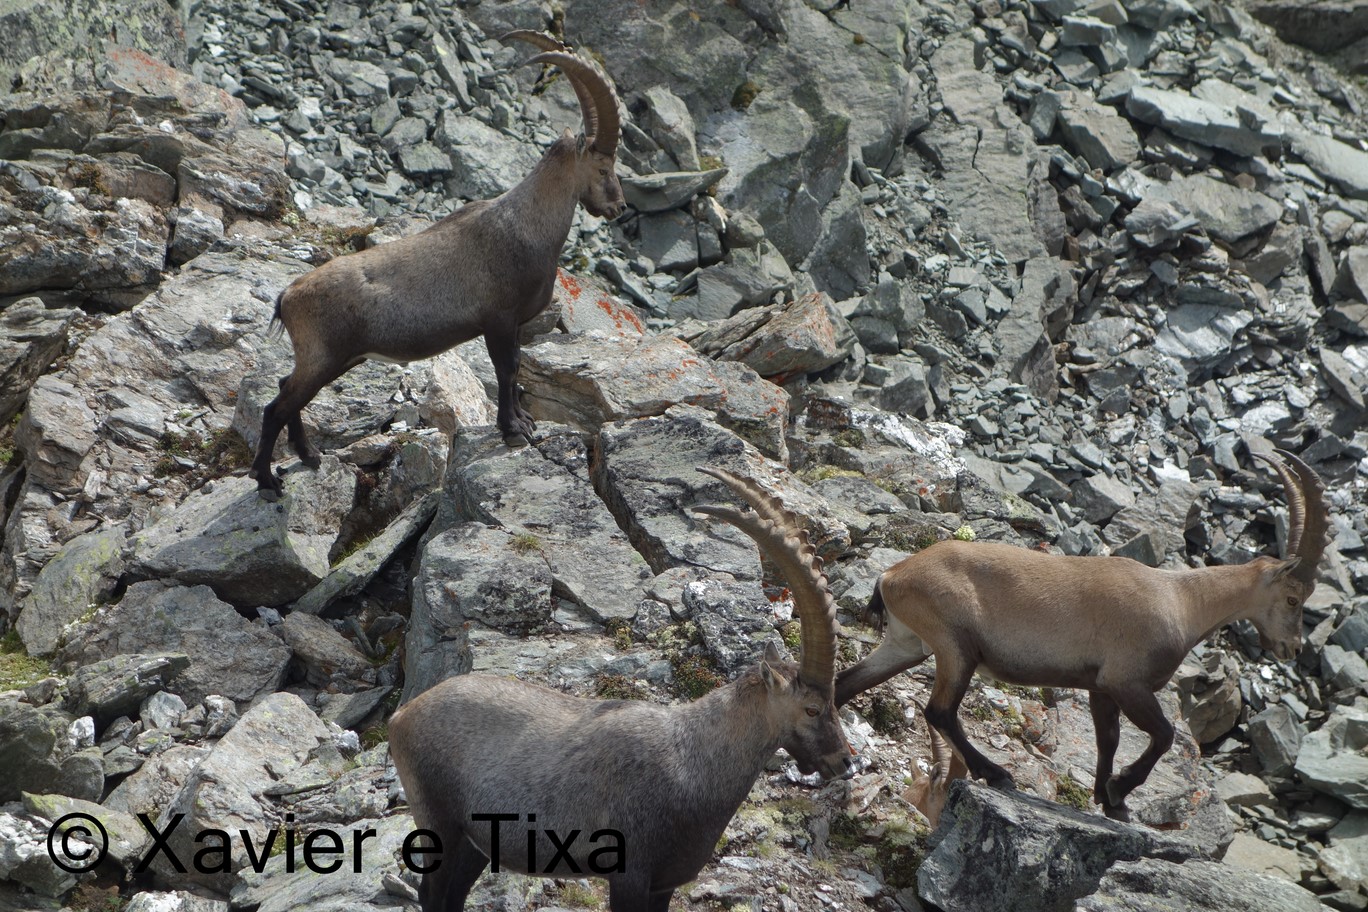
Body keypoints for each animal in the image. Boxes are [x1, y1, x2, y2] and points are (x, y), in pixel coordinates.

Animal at [250, 31, 625, 499]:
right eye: (604, 167)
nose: (619, 208)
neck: (527, 226)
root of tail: (288, 295)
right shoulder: (498, 320)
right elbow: (507, 369)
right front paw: (513, 429)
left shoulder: (512, 325)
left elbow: (515, 370)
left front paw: (522, 420)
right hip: (325, 357)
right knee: (275, 406)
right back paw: (267, 480)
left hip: (333, 360)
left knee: (287, 392)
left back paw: (310, 455)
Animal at [387, 467, 854, 912]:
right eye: (812, 709)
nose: (845, 762)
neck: (695, 760)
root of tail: (401, 716)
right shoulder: (628, 875)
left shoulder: (663, 884)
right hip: (441, 825)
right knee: (433, 894)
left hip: (477, 843)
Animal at [834, 448, 1328, 821]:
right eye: (1293, 598)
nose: (1292, 647)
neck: (1182, 601)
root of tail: (893, 574)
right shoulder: (1126, 681)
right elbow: (1164, 735)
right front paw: (1119, 791)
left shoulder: (1099, 687)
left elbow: (1108, 739)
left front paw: (1108, 800)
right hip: (956, 647)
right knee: (940, 711)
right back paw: (996, 774)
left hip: (907, 644)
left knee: (848, 683)